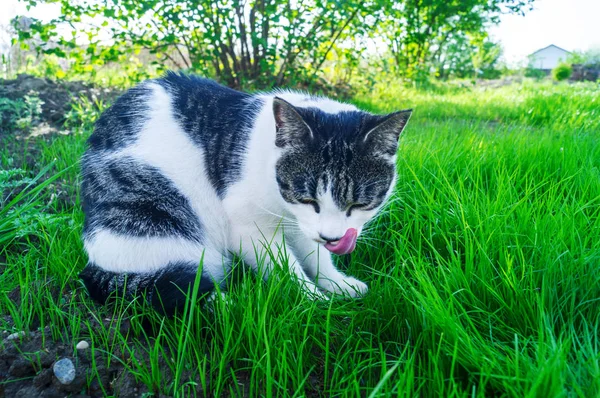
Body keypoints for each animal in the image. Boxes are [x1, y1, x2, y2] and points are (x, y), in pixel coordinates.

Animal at [77, 72, 410, 314]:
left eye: (360, 203)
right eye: (307, 198)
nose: (332, 237)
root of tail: (93, 264)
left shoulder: (305, 227)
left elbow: (316, 256)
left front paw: (338, 284)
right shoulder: (249, 230)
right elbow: (286, 268)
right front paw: (314, 301)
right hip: (159, 218)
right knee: (173, 290)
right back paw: (232, 305)